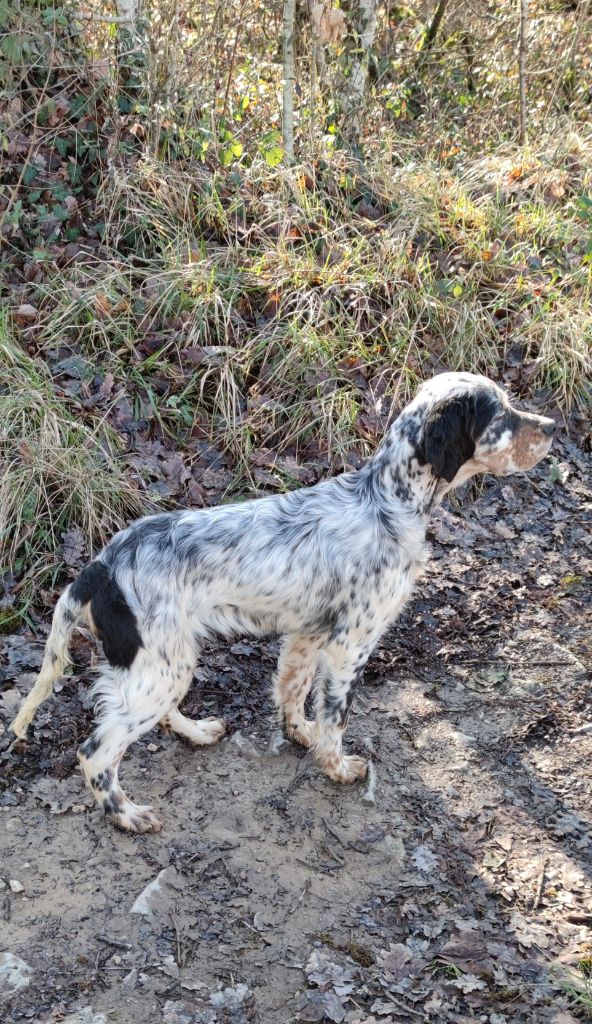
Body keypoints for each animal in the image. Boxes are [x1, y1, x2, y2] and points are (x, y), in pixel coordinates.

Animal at [10, 374, 553, 831]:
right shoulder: (351, 644)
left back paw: (197, 732)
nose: (552, 427)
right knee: (96, 751)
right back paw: (126, 815)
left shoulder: (308, 633)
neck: (387, 502)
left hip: (168, 660)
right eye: (501, 415)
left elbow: (293, 691)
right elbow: (336, 715)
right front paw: (337, 766)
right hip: (158, 666)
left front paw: (301, 736)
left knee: (156, 714)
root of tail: (100, 565)